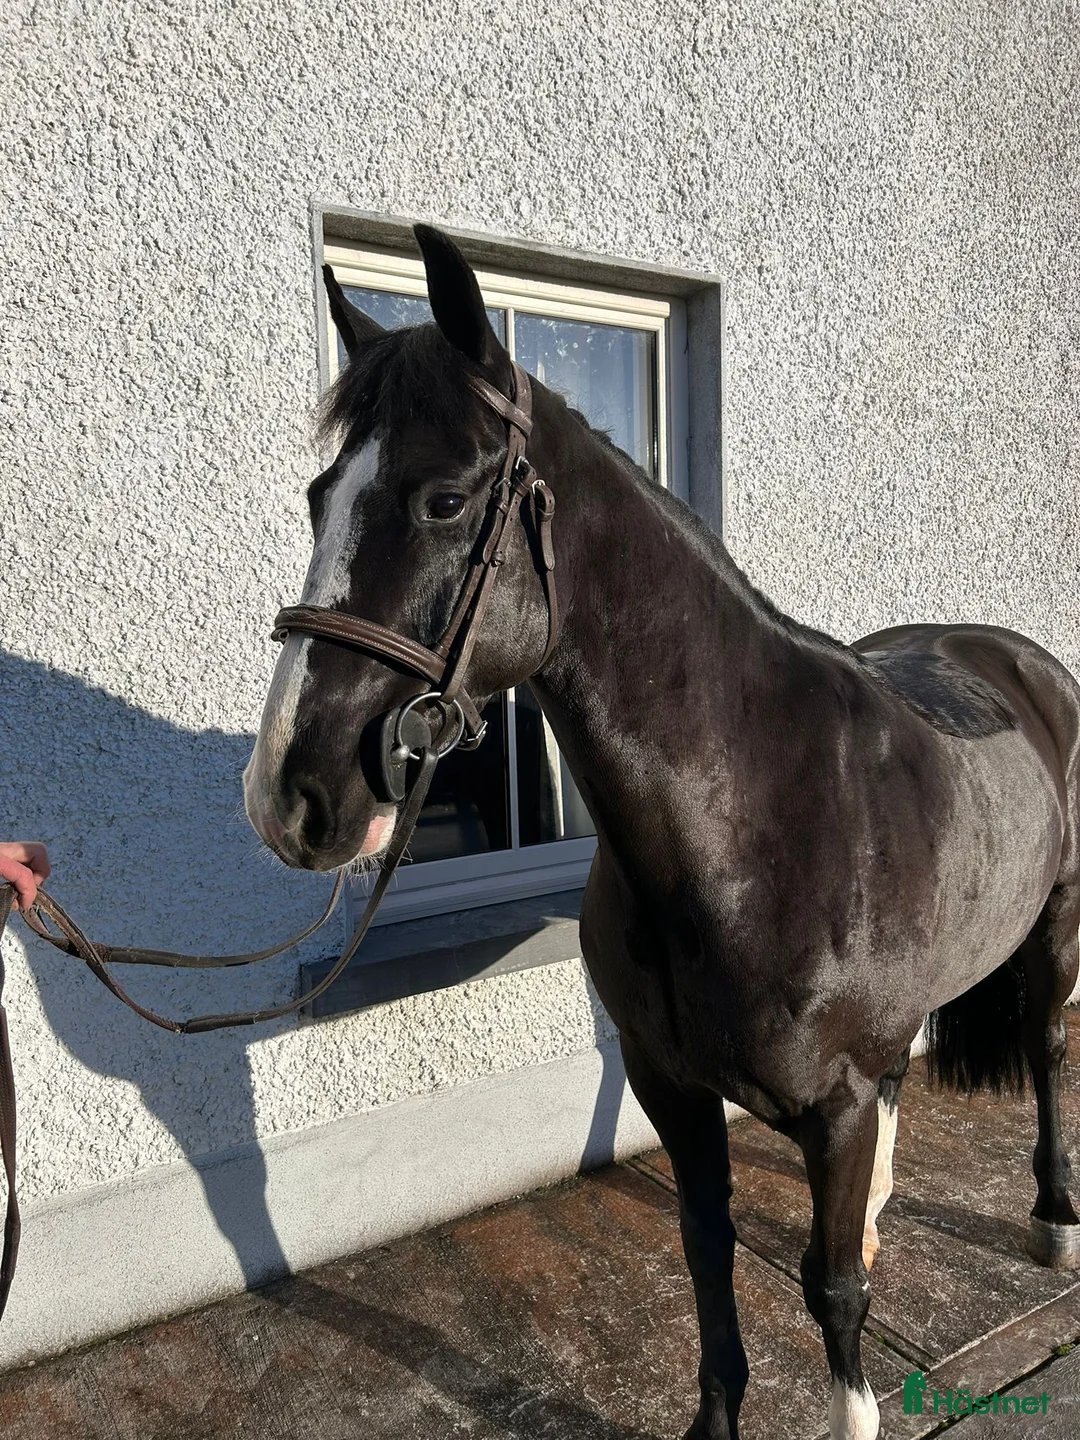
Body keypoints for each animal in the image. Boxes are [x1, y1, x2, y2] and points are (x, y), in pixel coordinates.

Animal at [243, 224, 1080, 1440]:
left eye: (443, 501)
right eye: (319, 497)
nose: (288, 794)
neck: (744, 830)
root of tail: (1016, 658)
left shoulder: (831, 1107)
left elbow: (834, 1292)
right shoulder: (672, 1088)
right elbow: (705, 1250)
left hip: (1056, 927)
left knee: (1050, 1048)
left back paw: (1054, 1214)